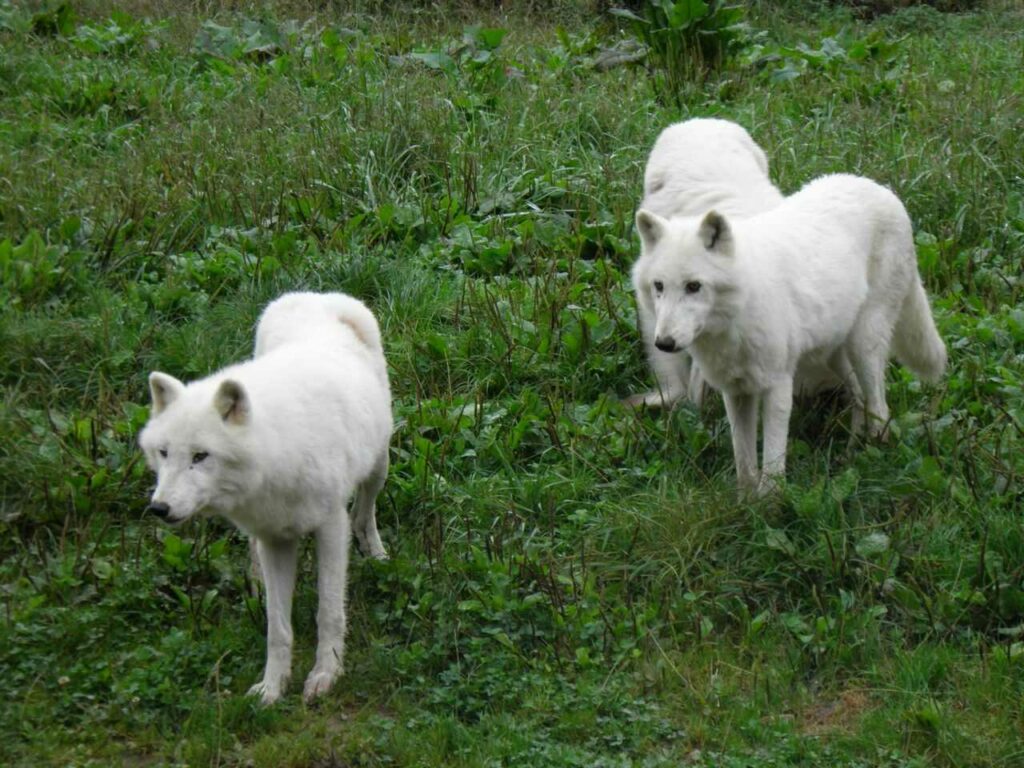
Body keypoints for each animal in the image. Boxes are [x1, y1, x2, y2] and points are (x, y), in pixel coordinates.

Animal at [137, 290, 391, 708]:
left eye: (200, 456)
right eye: (163, 453)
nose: (159, 508)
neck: (276, 451)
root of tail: (316, 294)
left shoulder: (330, 526)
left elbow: (329, 611)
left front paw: (325, 675)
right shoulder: (275, 539)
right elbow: (277, 627)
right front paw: (271, 687)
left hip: (379, 464)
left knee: (365, 511)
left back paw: (376, 551)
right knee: (256, 554)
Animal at [634, 174, 946, 493]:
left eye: (693, 286)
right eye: (659, 286)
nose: (664, 343)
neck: (738, 317)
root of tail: (881, 189)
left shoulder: (778, 385)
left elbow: (772, 461)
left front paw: (771, 501)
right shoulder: (736, 393)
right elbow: (744, 463)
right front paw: (746, 502)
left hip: (864, 345)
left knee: (880, 408)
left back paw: (875, 458)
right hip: (835, 356)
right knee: (860, 397)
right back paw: (851, 456)